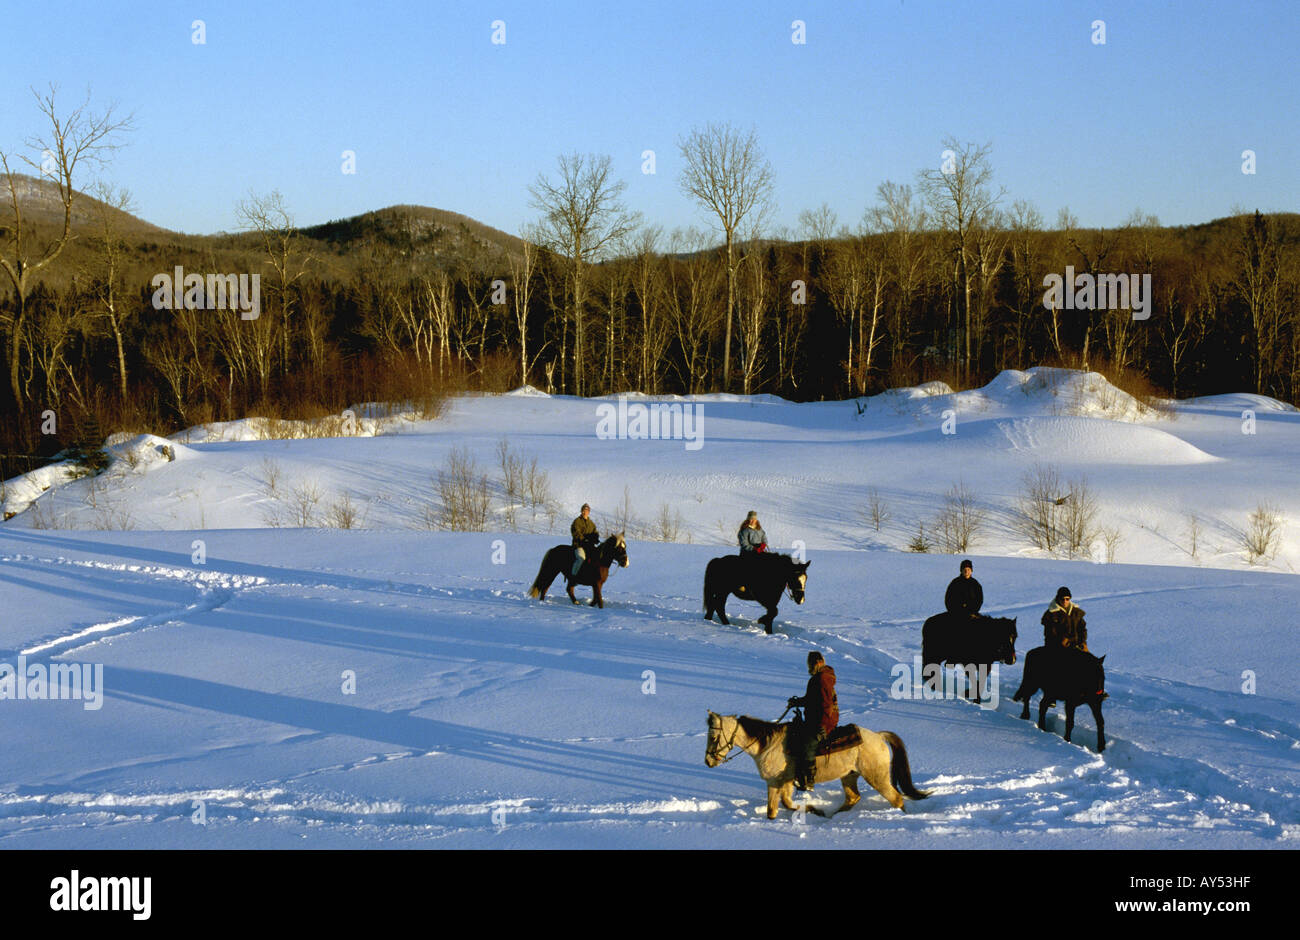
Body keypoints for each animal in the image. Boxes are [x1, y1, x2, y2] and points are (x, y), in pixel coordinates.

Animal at [707, 707, 930, 821]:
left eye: (714, 737)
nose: (708, 761)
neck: (768, 745)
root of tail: (878, 736)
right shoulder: (783, 782)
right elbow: (781, 805)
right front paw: (814, 810)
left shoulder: (776, 781)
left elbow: (777, 807)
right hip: (849, 775)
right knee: (853, 797)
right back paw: (832, 816)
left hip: (877, 777)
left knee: (896, 798)